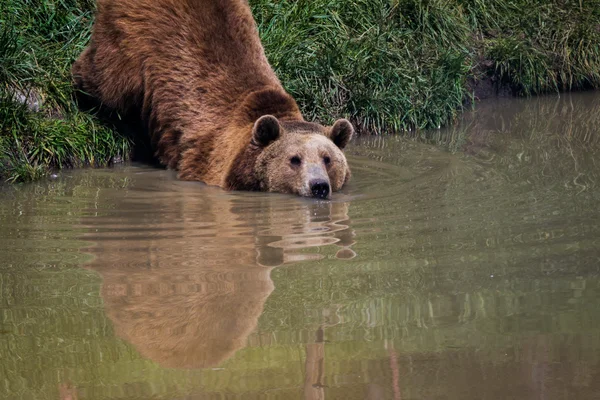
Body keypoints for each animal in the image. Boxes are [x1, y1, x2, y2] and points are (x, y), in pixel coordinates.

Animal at [71, 0, 352, 199]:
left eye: (328, 159)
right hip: (134, 39)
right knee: (107, 79)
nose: (319, 186)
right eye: (294, 159)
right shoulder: (205, 159)